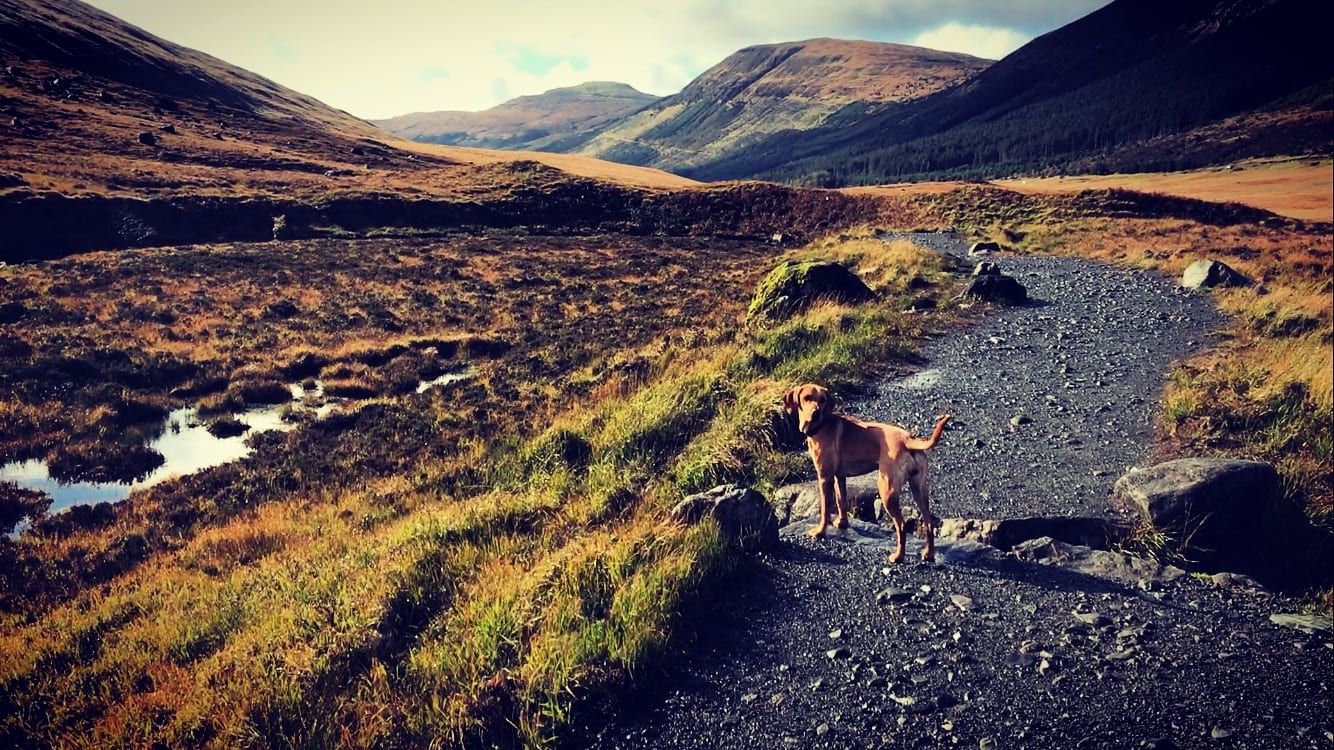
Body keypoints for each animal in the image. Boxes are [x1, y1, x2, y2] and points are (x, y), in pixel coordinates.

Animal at [779, 381, 949, 557]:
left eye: (822, 400)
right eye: (807, 398)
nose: (816, 412)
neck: (822, 426)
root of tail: (908, 439)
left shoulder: (824, 478)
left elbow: (825, 509)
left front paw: (820, 532)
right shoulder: (839, 477)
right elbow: (841, 500)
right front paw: (842, 523)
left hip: (887, 490)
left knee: (901, 525)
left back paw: (898, 557)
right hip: (919, 489)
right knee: (928, 522)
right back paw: (928, 554)